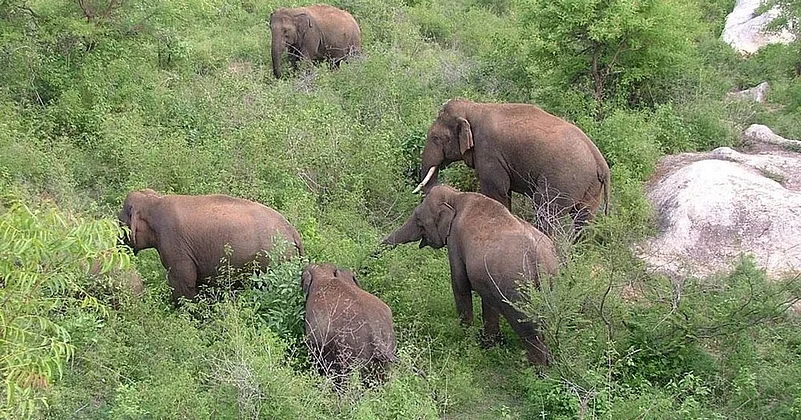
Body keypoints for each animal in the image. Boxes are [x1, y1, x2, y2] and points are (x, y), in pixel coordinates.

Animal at [118, 189, 304, 302]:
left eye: (119, 223)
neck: (155, 200)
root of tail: (294, 232)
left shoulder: (174, 244)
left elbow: (183, 284)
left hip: (274, 261)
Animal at [382, 184, 558, 366]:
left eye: (418, 219)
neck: (456, 195)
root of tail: (540, 258)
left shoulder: (455, 241)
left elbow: (460, 285)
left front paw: (466, 339)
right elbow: (488, 301)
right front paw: (489, 345)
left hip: (517, 288)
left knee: (529, 329)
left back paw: (536, 369)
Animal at [413, 99, 611, 236]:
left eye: (437, 138)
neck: (475, 107)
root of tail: (601, 164)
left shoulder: (489, 154)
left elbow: (497, 192)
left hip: (564, 180)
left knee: (545, 207)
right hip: (592, 188)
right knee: (584, 220)